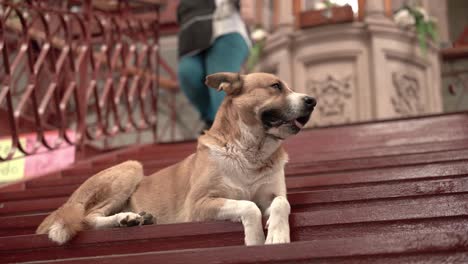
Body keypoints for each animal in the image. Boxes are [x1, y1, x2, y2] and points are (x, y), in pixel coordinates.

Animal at [36, 71, 314, 245]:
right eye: (276, 86)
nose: (312, 100)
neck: (250, 154)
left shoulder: (272, 194)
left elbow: (280, 203)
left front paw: (278, 235)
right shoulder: (199, 204)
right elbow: (249, 206)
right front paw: (255, 240)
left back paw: (134, 219)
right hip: (130, 167)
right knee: (87, 218)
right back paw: (124, 218)